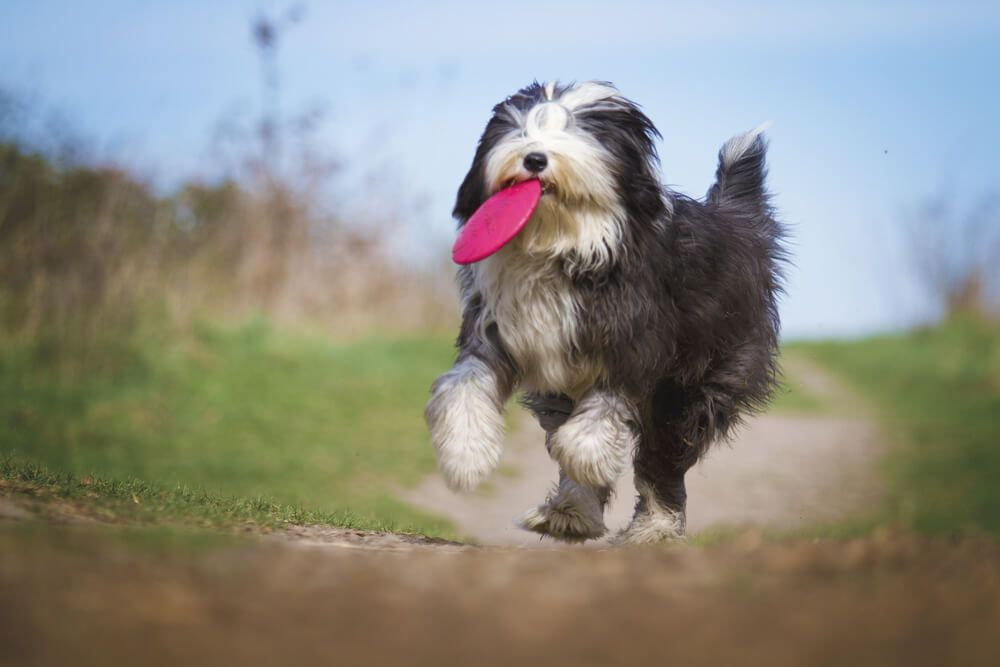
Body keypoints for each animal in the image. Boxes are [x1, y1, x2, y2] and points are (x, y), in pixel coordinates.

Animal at [422, 81, 780, 544]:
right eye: (520, 130)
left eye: (577, 130)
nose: (534, 158)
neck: (561, 245)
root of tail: (734, 222)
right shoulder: (499, 329)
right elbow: (464, 386)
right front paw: (465, 456)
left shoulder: (634, 346)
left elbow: (592, 428)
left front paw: (589, 459)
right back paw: (569, 513)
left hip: (694, 385)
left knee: (664, 457)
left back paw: (655, 527)